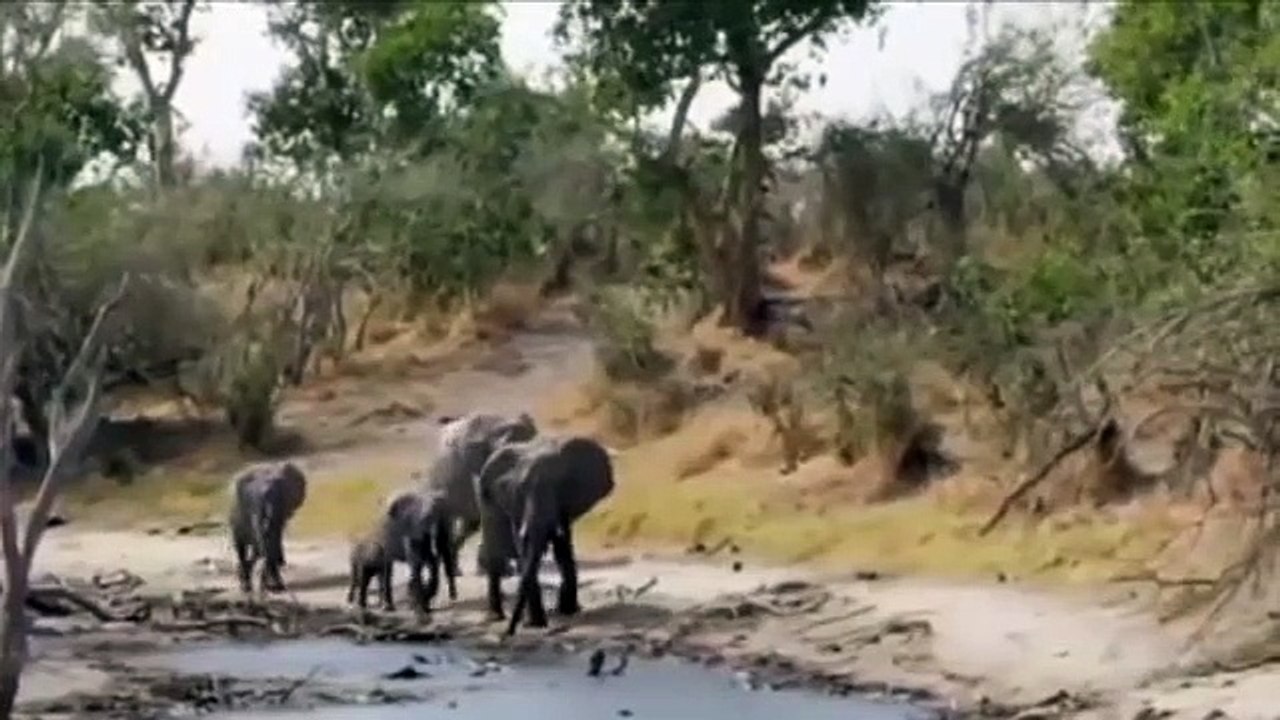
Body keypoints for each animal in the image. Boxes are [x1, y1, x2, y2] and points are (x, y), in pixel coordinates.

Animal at [424, 412, 538, 578]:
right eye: (507, 455)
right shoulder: (479, 467)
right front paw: (497, 570)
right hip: (437, 482)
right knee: (449, 521)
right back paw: (454, 571)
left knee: (471, 524)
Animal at [475, 435, 615, 636]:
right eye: (520, 490)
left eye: (561, 485)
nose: (509, 633)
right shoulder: (517, 504)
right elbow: (525, 549)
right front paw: (535, 624)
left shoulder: (563, 506)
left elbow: (563, 547)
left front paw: (569, 611)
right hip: (485, 499)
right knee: (495, 550)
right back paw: (495, 616)